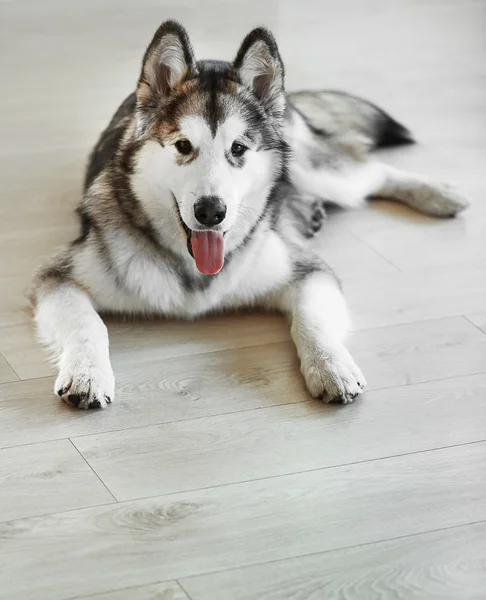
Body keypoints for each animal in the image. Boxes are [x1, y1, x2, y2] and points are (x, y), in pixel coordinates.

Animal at [29, 21, 468, 410]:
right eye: (183, 145)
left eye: (238, 148)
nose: (211, 212)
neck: (193, 271)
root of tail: (219, 60)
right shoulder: (57, 279)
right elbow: (89, 324)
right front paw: (87, 373)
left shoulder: (308, 271)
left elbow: (310, 320)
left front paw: (332, 367)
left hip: (310, 166)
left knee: (368, 170)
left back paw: (439, 193)